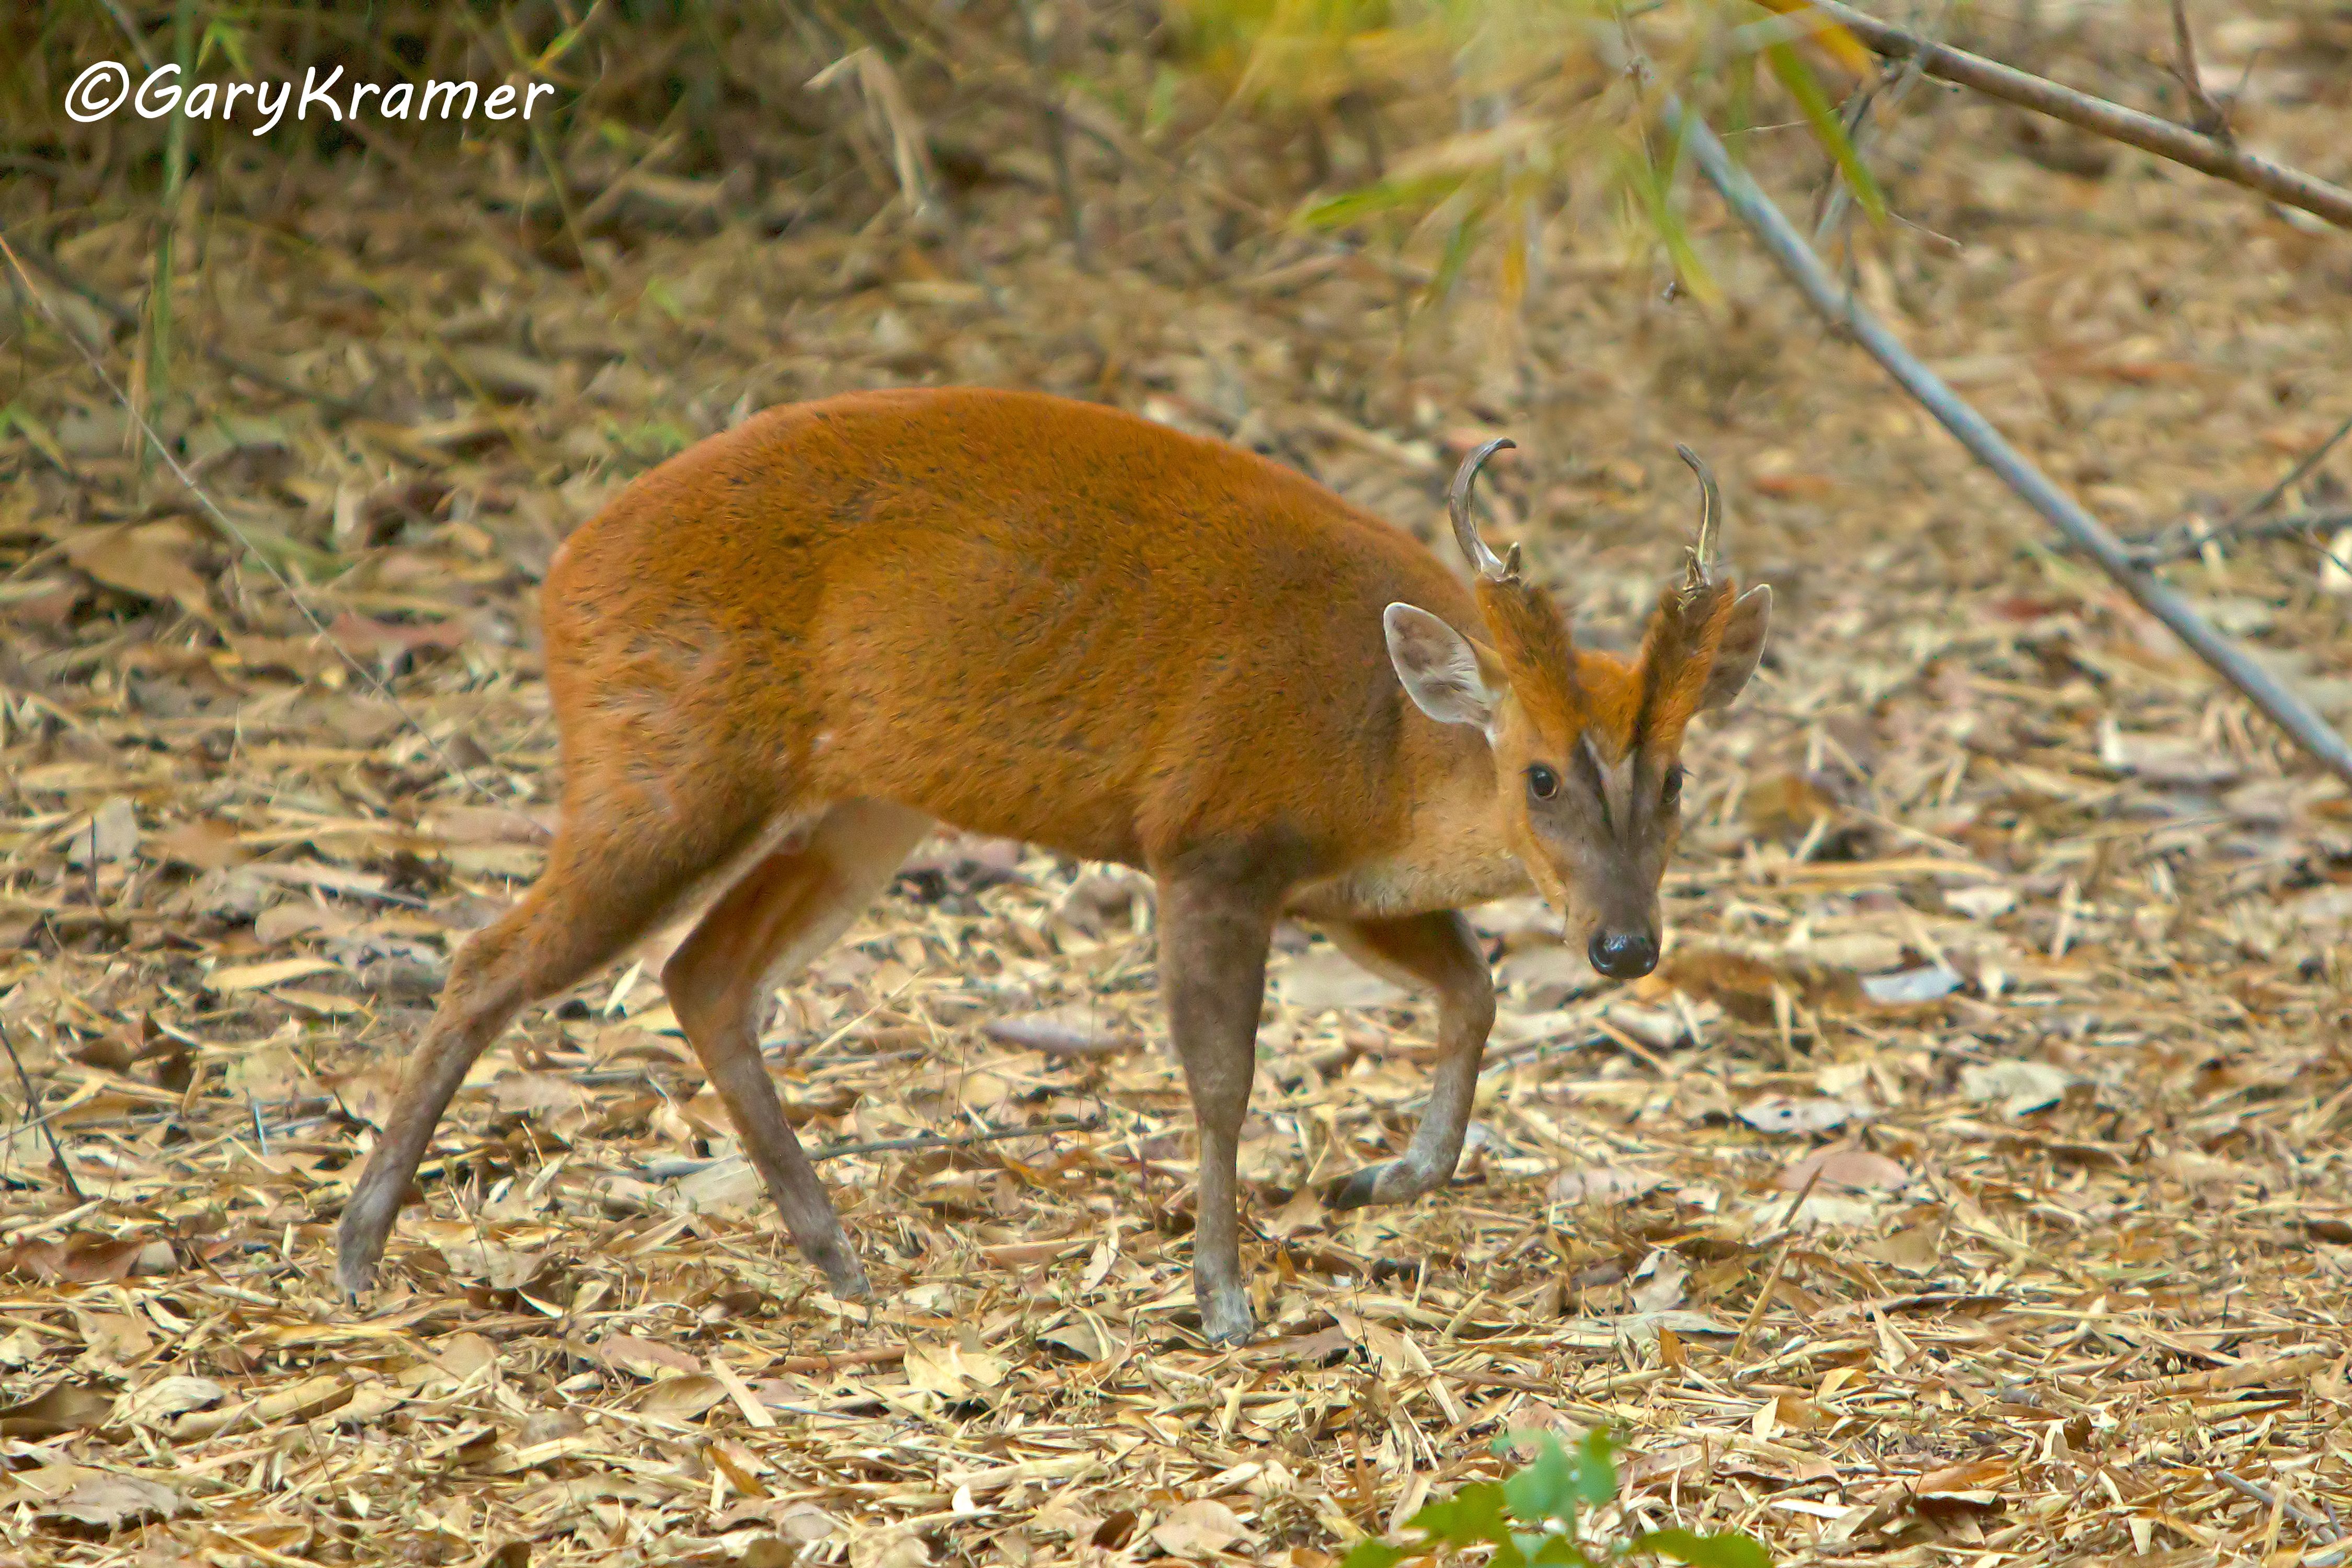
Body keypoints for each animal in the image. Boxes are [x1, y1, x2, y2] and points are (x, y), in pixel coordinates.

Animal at [334, 386, 1770, 1344]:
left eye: (1676, 777)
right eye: (1538, 775)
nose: (1625, 944)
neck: (1381, 746)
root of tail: (561, 577)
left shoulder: (1336, 891)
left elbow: (1470, 993)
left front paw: (1380, 1178)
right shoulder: (1208, 843)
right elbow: (1219, 1079)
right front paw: (1222, 1294)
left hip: (864, 801)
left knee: (706, 973)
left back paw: (839, 1256)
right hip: (669, 761)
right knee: (493, 956)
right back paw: (358, 1249)